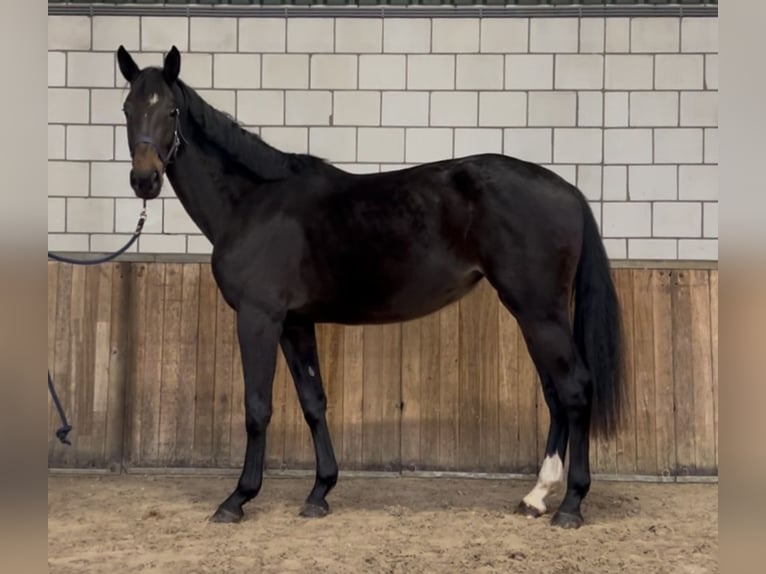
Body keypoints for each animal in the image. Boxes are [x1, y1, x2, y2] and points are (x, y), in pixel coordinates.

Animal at [118, 45, 624, 532]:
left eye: (170, 111)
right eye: (127, 108)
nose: (144, 180)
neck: (252, 203)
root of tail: (569, 191)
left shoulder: (259, 318)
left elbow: (257, 407)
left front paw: (237, 499)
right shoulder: (295, 323)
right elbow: (313, 402)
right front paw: (320, 492)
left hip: (539, 313)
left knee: (574, 389)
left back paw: (571, 505)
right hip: (536, 316)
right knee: (555, 394)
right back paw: (537, 496)